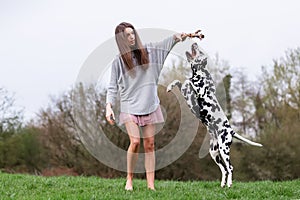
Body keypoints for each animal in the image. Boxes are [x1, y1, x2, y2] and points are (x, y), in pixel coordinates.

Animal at [166, 42, 262, 188]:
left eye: (199, 51)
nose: (195, 43)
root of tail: (231, 131)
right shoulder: (185, 90)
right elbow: (179, 81)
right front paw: (169, 87)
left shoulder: (199, 91)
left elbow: (188, 81)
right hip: (214, 152)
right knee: (224, 169)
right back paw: (223, 184)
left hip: (224, 149)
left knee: (230, 167)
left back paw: (229, 184)